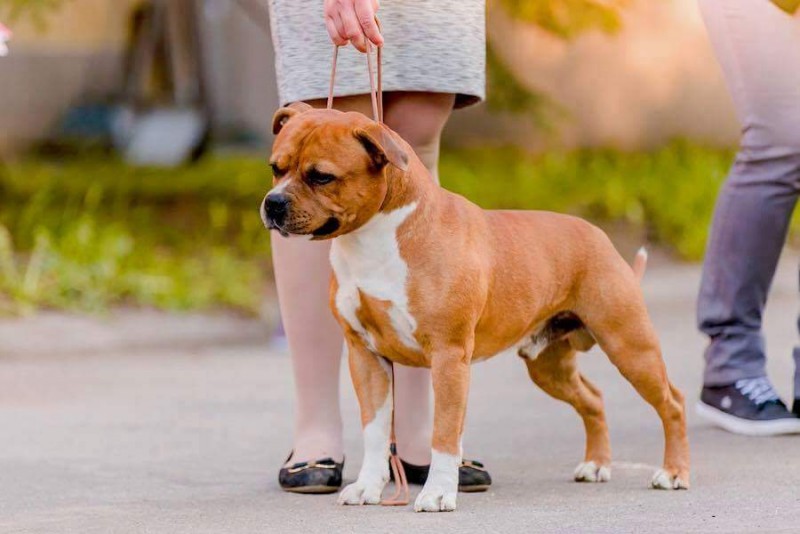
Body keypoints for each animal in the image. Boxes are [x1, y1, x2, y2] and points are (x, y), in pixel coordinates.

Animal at [260, 102, 688, 512]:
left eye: (322, 177)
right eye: (275, 168)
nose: (273, 203)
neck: (376, 238)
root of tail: (599, 236)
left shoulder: (449, 357)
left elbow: (445, 433)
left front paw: (438, 494)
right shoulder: (365, 356)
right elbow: (375, 430)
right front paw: (367, 488)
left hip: (629, 346)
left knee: (672, 402)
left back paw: (673, 473)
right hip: (548, 367)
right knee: (594, 399)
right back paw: (597, 465)